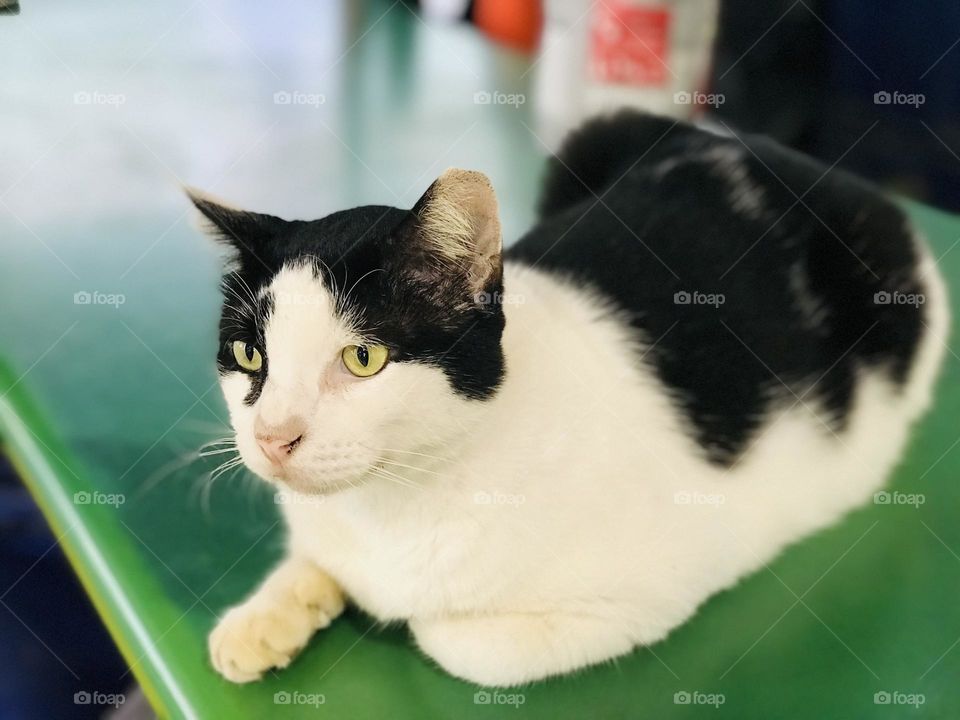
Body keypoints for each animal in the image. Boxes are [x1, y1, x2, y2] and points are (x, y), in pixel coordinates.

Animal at [191, 111, 948, 688]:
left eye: (363, 359)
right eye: (250, 355)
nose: (272, 438)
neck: (391, 504)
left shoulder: (650, 591)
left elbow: (450, 639)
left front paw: (388, 611)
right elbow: (316, 556)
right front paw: (268, 615)